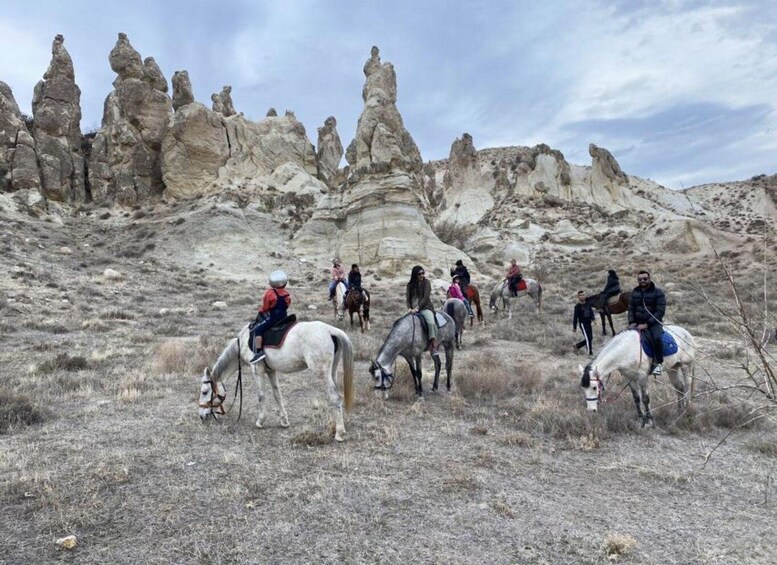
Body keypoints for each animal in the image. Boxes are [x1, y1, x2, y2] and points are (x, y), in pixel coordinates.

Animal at [197, 322, 354, 440]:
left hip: (322, 373)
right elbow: (277, 395)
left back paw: (339, 433)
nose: (201, 416)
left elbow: (261, 396)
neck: (244, 341)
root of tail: (330, 330)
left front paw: (260, 421)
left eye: (204, 392)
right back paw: (334, 426)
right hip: (331, 372)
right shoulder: (271, 371)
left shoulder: (257, 371)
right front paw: (284, 420)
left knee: (335, 398)